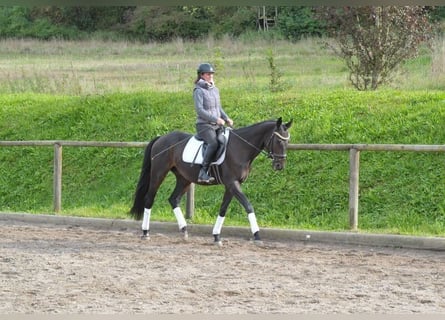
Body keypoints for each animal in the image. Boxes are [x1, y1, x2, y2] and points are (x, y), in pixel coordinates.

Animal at [128, 117, 292, 245]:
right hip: (159, 173)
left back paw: (184, 231)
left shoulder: (232, 185)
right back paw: (145, 232)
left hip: (184, 179)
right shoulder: (232, 183)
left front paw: (216, 236)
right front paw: (257, 235)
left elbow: (223, 209)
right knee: (149, 199)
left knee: (173, 199)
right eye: (278, 140)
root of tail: (161, 138)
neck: (241, 148)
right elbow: (248, 206)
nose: (279, 165)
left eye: (288, 141)